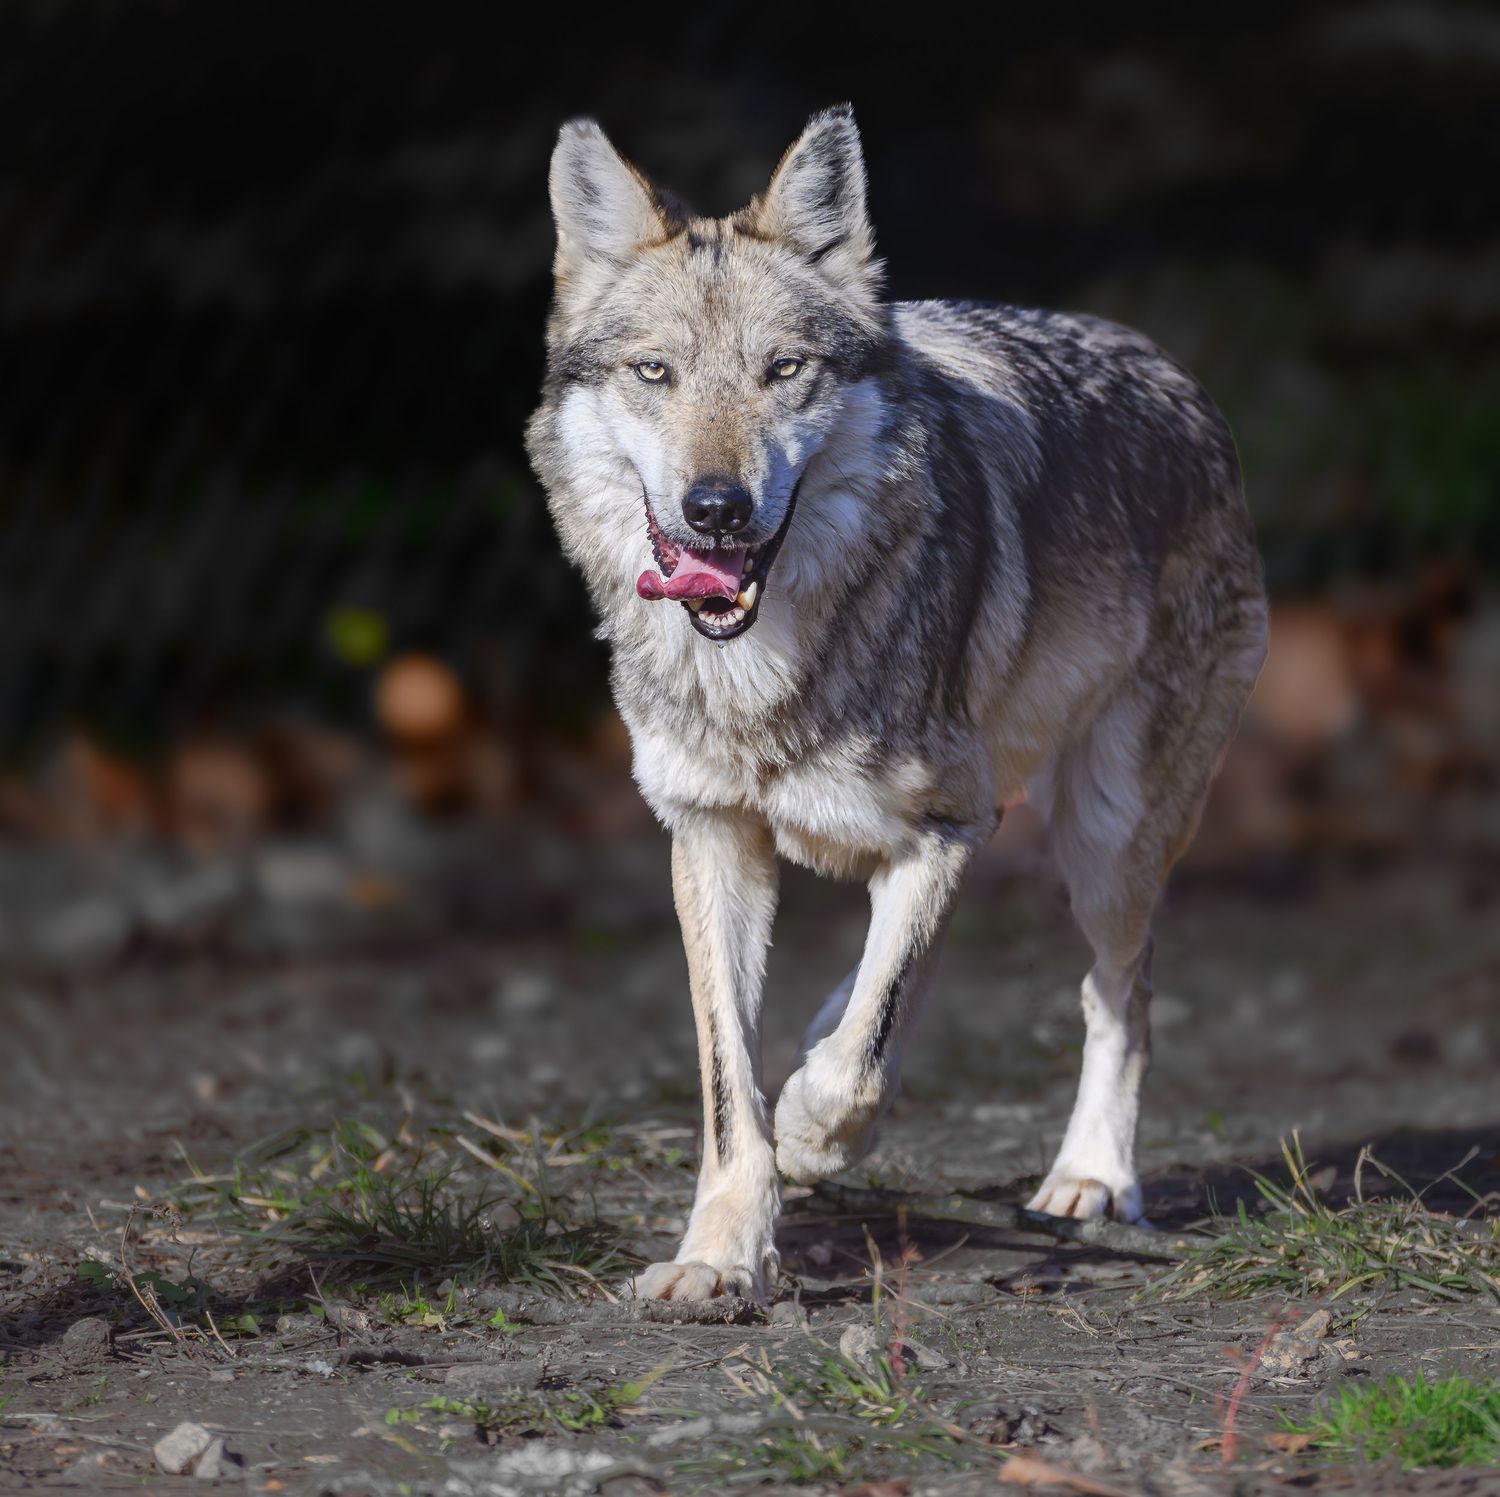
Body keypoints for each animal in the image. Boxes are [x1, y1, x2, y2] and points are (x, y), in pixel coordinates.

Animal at [525, 105, 1266, 1302]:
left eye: (784, 369)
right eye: (656, 372)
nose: (715, 507)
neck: (762, 671)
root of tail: (1173, 374)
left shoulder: (947, 824)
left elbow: (863, 1060)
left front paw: (813, 1135)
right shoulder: (711, 837)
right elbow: (732, 1086)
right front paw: (719, 1256)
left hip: (1106, 836)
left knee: (1121, 990)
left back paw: (1091, 1178)